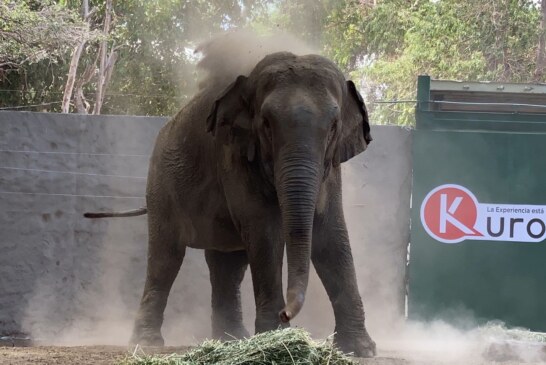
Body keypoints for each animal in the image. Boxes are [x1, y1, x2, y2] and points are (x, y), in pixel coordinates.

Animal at [86, 39, 374, 356]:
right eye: (266, 124)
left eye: (334, 126)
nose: (286, 313)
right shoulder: (232, 153)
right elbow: (265, 232)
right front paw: (274, 337)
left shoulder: (330, 165)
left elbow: (330, 234)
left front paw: (360, 350)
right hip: (160, 184)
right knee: (165, 258)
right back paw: (147, 343)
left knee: (227, 266)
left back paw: (231, 339)